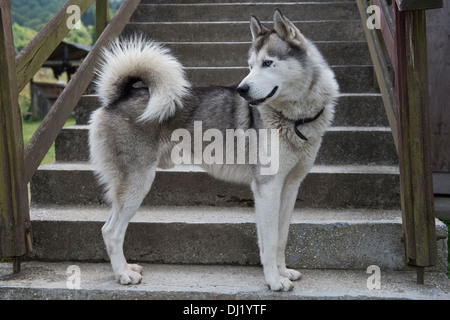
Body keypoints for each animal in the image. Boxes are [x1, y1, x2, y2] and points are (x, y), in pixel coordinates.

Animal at [89, 9, 338, 292]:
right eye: (250, 65)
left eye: (267, 63)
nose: (242, 89)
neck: (295, 119)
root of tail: (118, 98)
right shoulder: (267, 188)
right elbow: (269, 242)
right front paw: (274, 281)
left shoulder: (289, 187)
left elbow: (281, 237)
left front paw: (284, 272)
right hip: (137, 185)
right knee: (111, 231)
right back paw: (123, 275)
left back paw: (127, 267)